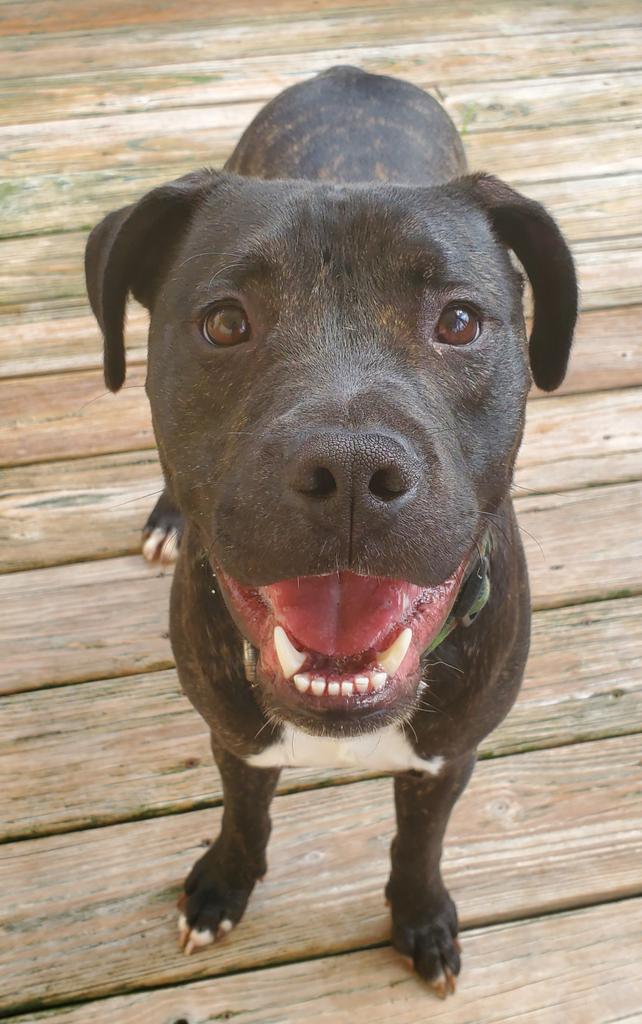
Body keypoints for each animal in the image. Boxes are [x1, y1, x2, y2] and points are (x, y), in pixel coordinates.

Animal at [86, 68, 577, 995]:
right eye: (225, 322)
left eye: (460, 321)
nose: (351, 471)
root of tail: (354, 74)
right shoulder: (236, 738)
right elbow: (245, 817)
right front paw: (222, 887)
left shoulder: (448, 758)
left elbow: (419, 845)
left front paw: (421, 919)